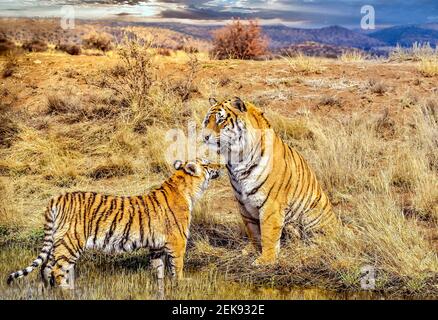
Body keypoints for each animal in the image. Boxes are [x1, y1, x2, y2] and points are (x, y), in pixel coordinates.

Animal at [5, 159, 221, 288]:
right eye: (207, 163)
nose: (219, 165)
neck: (186, 188)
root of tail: (57, 197)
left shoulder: (156, 246)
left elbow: (159, 270)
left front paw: (160, 286)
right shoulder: (177, 242)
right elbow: (178, 266)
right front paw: (182, 283)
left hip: (58, 242)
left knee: (46, 267)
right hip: (71, 242)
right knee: (58, 269)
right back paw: (65, 289)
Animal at [202, 97, 338, 264]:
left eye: (220, 120)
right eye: (207, 120)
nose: (204, 136)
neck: (236, 159)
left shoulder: (271, 204)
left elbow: (268, 233)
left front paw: (265, 260)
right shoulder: (244, 204)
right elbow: (253, 231)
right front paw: (253, 250)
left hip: (313, 214)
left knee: (320, 241)